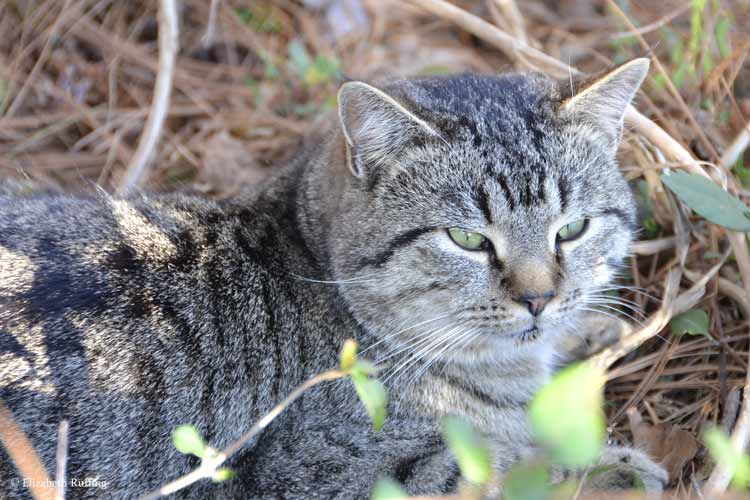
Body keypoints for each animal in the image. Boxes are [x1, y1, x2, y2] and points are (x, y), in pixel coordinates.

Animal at [0, 57, 668, 496]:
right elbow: (507, 468)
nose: (539, 298)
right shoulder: (320, 476)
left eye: (572, 229)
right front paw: (613, 471)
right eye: (468, 240)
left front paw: (591, 326)